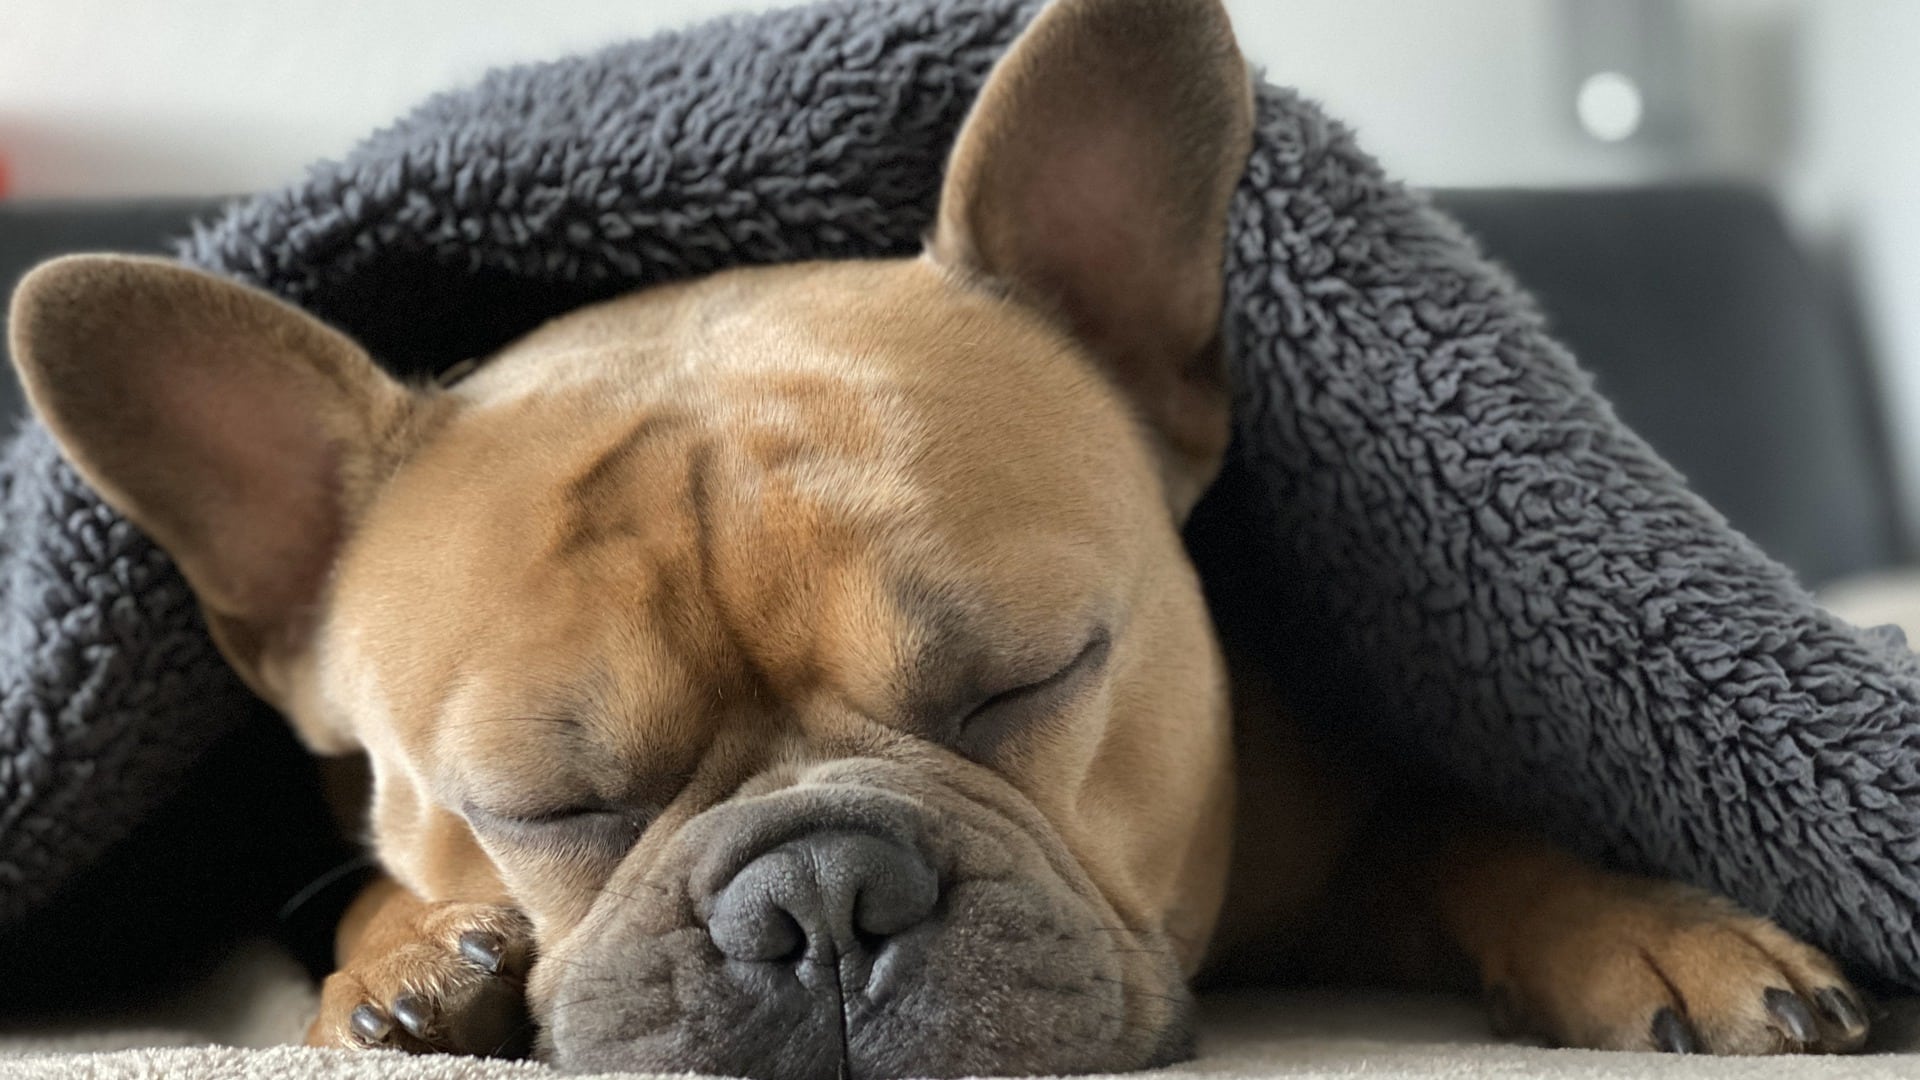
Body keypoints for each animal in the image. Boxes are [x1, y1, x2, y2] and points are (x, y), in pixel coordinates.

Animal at [11, 0, 1873, 1068]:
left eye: (1028, 682)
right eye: (544, 804)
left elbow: (1467, 826)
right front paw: (407, 962)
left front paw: (1653, 920)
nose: (820, 896)